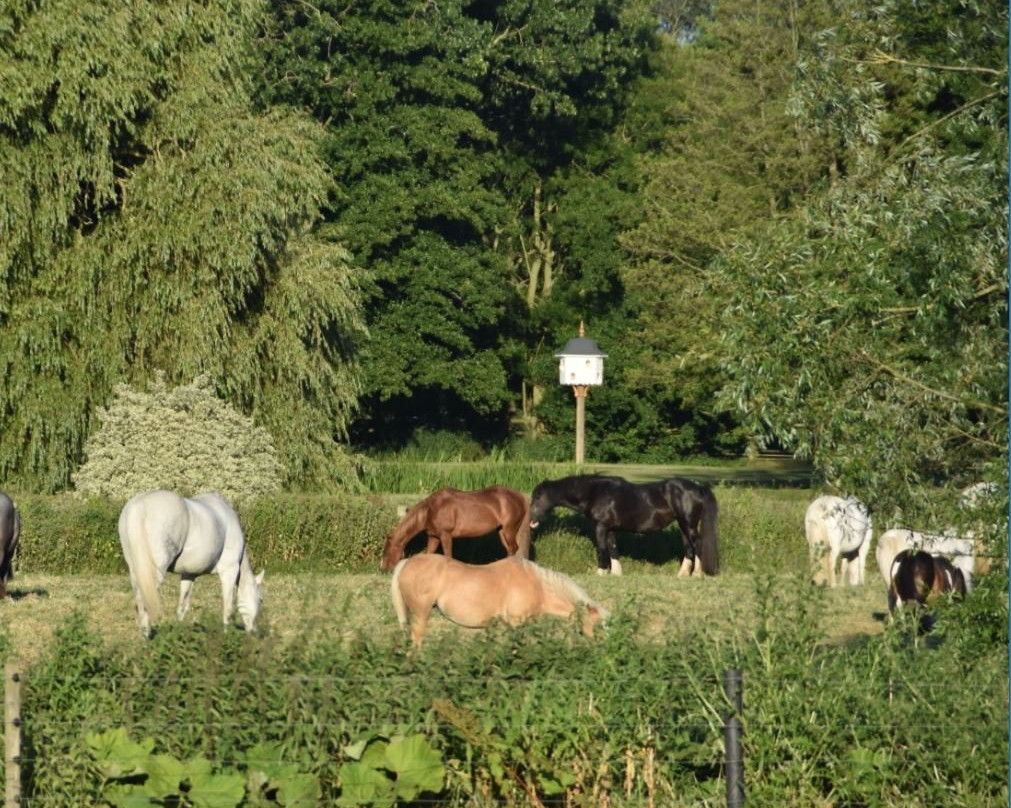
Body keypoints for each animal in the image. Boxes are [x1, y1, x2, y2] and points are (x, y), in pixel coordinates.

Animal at [116, 489, 264, 643]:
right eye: (261, 599)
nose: (254, 632)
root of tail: (137, 506)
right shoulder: (229, 571)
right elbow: (228, 608)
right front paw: (226, 636)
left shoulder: (189, 574)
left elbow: (182, 606)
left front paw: (178, 635)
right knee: (143, 601)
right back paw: (146, 636)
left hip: (135, 571)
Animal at [380, 483, 533, 570]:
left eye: (386, 551)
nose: (383, 569)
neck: (431, 510)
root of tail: (521, 497)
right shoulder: (434, 537)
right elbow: (430, 554)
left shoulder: (446, 536)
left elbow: (448, 555)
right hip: (501, 531)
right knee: (510, 550)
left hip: (509, 530)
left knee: (513, 548)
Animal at [390, 554, 602, 647]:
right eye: (597, 624)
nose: (596, 646)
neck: (535, 583)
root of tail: (407, 561)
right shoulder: (516, 623)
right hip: (421, 615)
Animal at [529, 473, 719, 574]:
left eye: (537, 497)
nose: (531, 521)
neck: (595, 493)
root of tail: (698, 488)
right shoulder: (610, 529)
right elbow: (613, 549)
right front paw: (616, 574)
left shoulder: (600, 527)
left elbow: (602, 549)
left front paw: (601, 573)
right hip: (683, 526)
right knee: (688, 548)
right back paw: (682, 575)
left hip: (689, 524)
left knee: (698, 545)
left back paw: (697, 574)